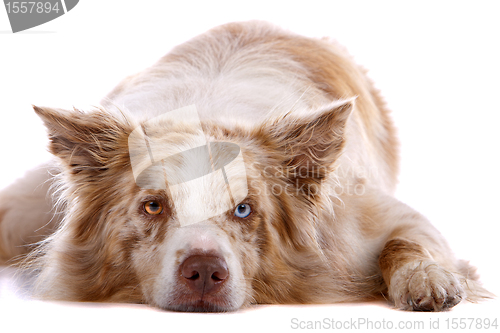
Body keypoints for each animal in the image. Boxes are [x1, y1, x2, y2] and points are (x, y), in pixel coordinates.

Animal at [0, 21, 488, 312]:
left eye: (243, 209)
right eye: (153, 206)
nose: (203, 272)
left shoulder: (377, 218)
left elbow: (405, 241)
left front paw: (426, 279)